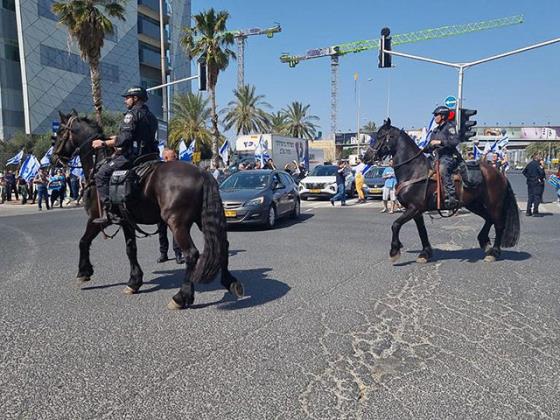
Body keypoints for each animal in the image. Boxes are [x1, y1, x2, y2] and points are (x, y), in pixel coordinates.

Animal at [52, 110, 243, 308]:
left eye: (59, 133)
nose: (53, 159)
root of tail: (202, 172)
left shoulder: (96, 220)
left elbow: (83, 242)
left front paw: (84, 272)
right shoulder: (126, 221)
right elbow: (131, 249)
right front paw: (134, 281)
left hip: (177, 223)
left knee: (191, 254)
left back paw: (181, 296)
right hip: (200, 219)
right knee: (223, 245)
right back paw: (230, 282)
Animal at [364, 119, 520, 262]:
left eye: (380, 136)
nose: (365, 157)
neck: (414, 171)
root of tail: (499, 174)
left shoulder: (414, 208)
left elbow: (395, 225)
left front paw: (394, 251)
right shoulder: (416, 211)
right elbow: (422, 231)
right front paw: (425, 253)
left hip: (494, 205)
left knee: (499, 224)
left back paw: (494, 252)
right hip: (475, 204)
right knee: (489, 219)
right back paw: (485, 243)